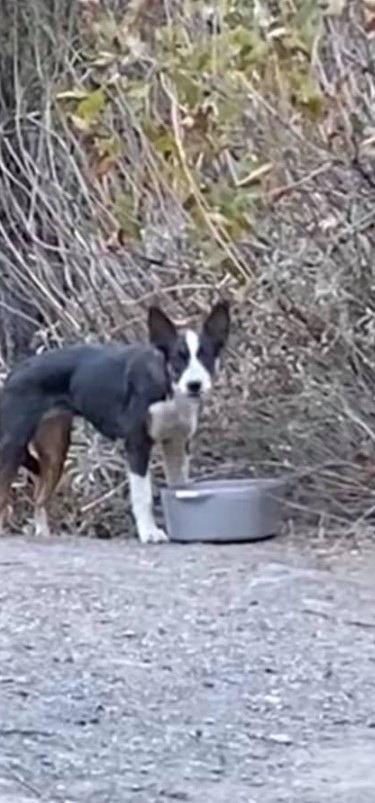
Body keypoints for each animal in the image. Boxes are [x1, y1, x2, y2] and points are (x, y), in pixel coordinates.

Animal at [0, 304, 231, 544]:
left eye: (206, 357)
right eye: (179, 358)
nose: (195, 384)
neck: (168, 388)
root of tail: (16, 370)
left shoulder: (176, 443)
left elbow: (179, 486)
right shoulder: (137, 444)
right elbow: (143, 496)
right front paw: (149, 532)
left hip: (55, 452)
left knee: (40, 497)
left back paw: (44, 534)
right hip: (12, 444)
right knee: (4, 494)